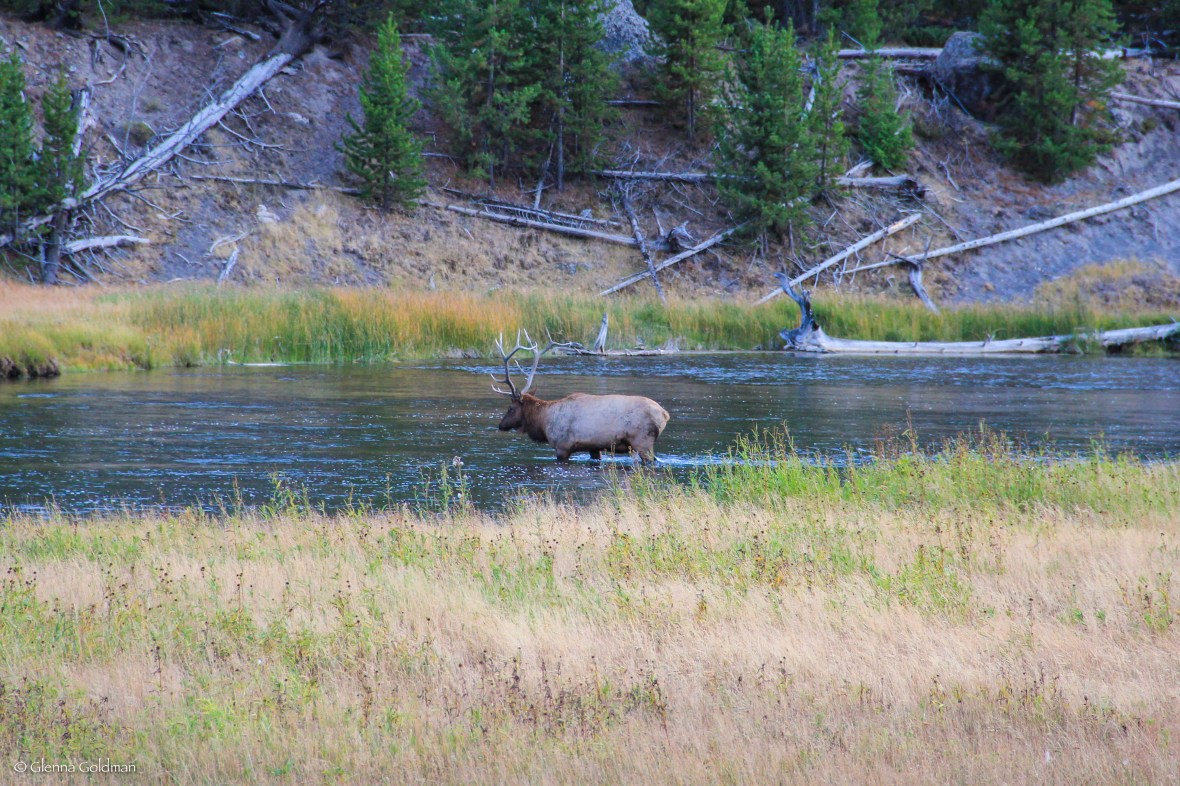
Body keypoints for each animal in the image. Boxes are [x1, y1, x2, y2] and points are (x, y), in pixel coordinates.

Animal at [491, 332, 670, 464]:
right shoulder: (594, 447)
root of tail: (664, 414)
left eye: (510, 408)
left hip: (642, 441)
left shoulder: (562, 446)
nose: (500, 425)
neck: (544, 421)